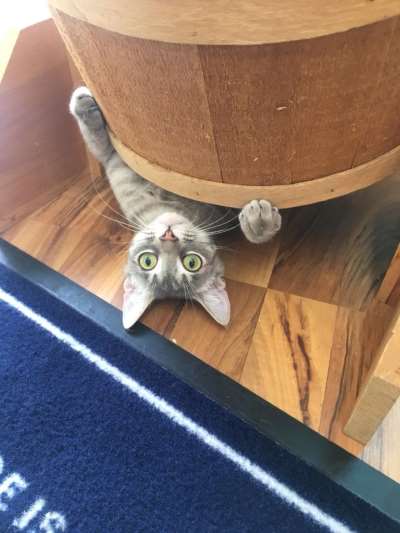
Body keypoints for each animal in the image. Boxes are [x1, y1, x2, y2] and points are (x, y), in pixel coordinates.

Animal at [69, 87, 281, 328]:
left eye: (192, 262)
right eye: (148, 261)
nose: (168, 235)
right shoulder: (114, 160)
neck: (166, 205)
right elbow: (99, 142)